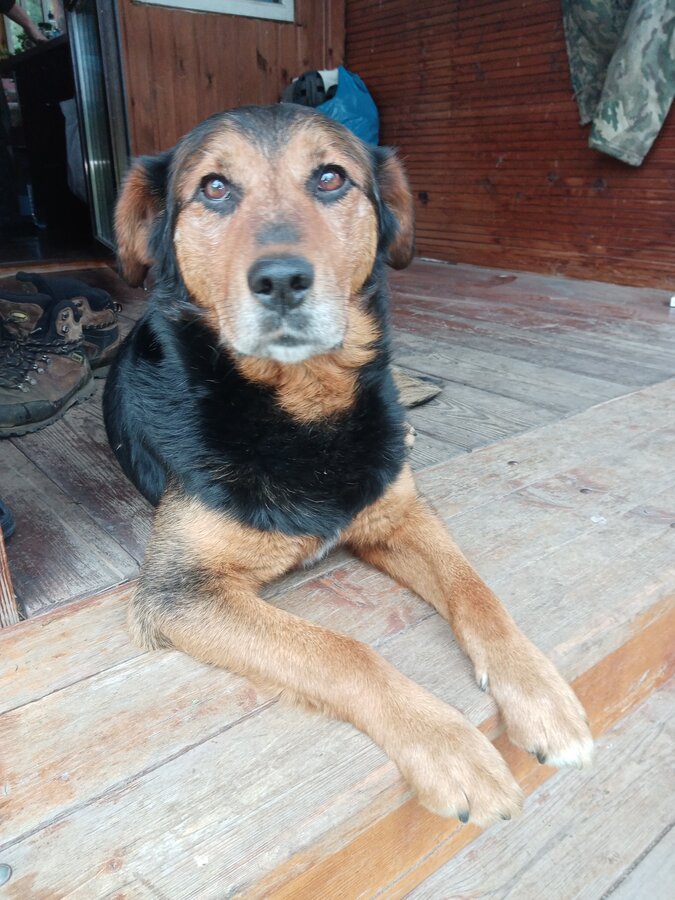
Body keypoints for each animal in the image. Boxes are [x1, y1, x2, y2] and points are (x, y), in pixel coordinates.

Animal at [104, 105, 592, 826]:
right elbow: (342, 651)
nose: (281, 280)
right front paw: (450, 747)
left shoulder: (399, 514)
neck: (304, 405)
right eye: (214, 188)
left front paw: (539, 691)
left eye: (330, 177)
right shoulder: (180, 592)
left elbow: (476, 592)